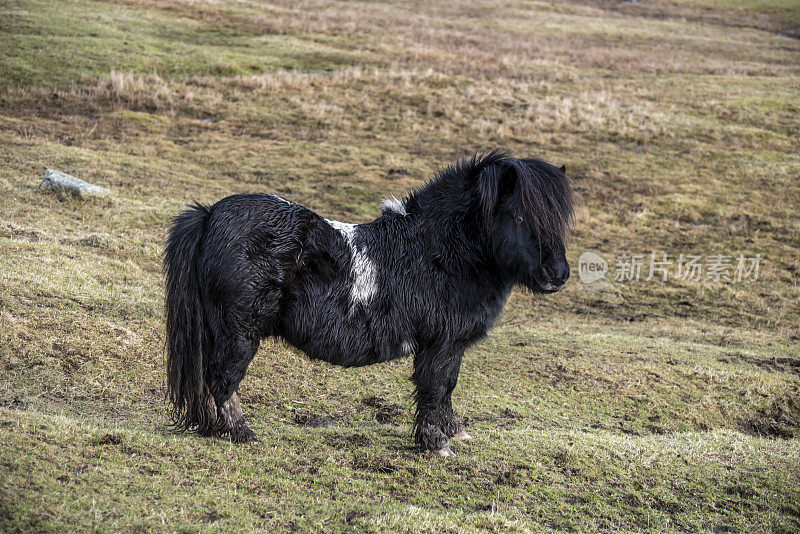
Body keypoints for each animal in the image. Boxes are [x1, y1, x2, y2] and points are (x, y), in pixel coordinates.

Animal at [166, 151, 572, 456]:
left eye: (559, 219)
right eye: (519, 216)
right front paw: (437, 443)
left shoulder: (451, 346)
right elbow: (435, 387)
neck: (441, 252)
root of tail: (210, 215)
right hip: (239, 331)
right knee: (222, 378)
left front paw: (454, 431)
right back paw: (241, 432)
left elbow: (448, 386)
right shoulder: (440, 344)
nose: (558, 274)